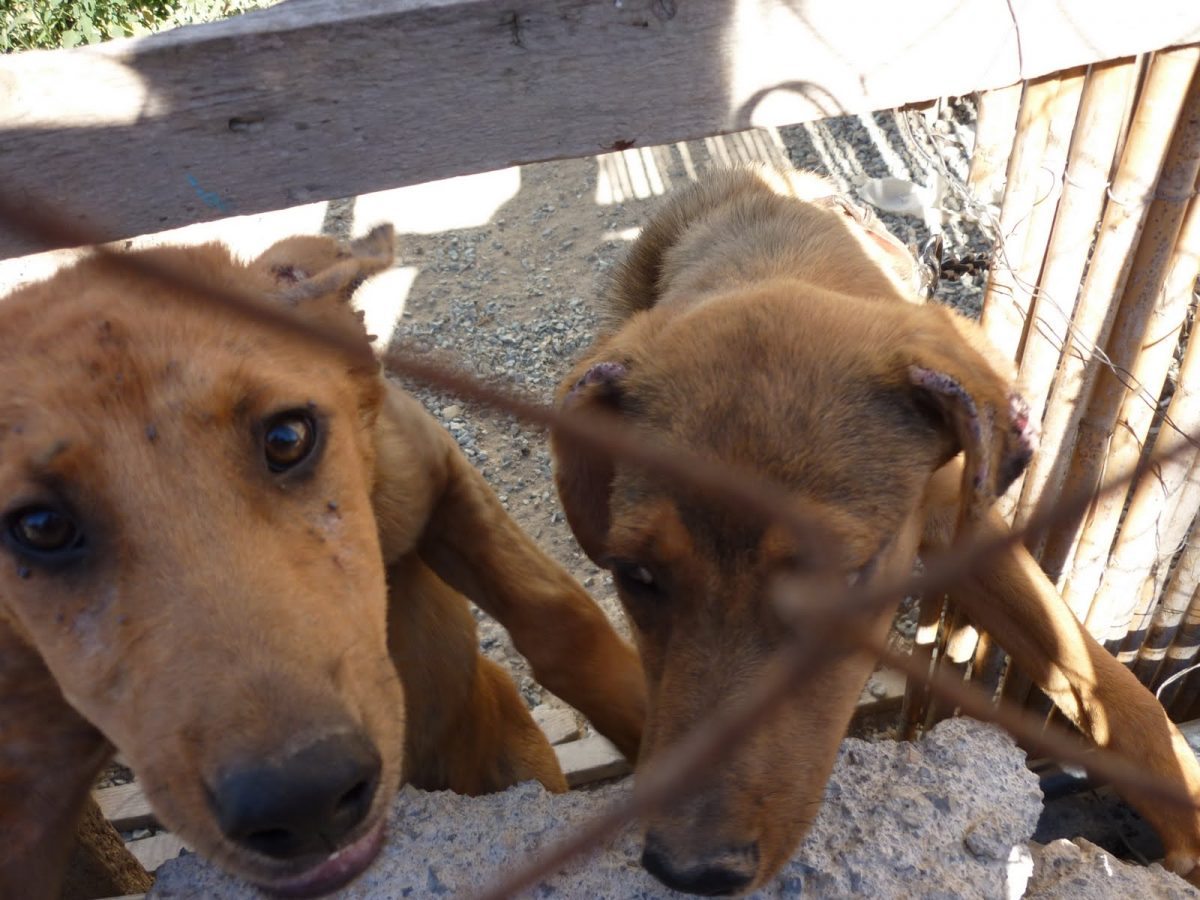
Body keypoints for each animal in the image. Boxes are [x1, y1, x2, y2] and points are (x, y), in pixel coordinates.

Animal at [554, 168, 1200, 897]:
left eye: (839, 579)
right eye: (634, 576)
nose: (686, 871)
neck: (774, 256)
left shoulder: (960, 515)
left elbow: (1107, 683)